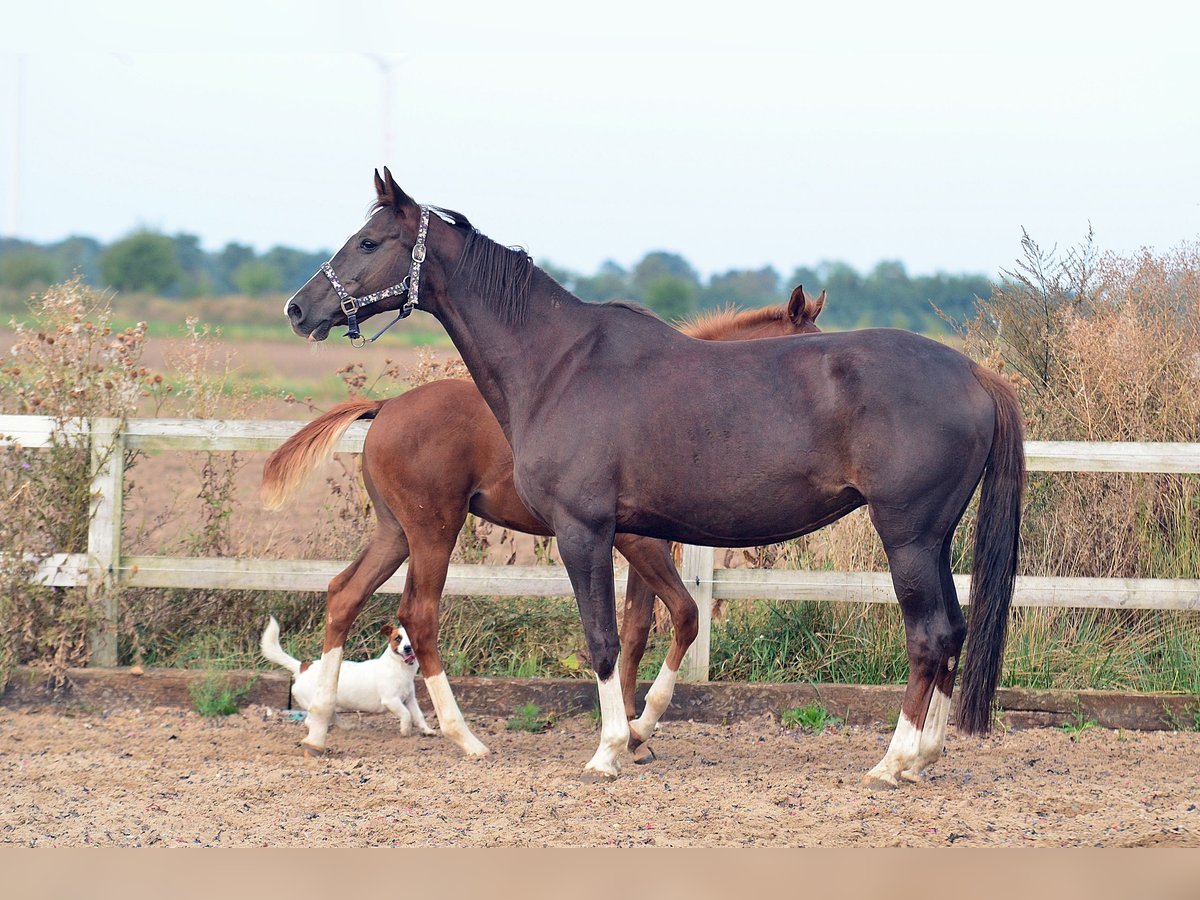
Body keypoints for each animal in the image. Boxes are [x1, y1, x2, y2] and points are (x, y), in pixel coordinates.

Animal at [262, 290, 825, 763]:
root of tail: (387, 407)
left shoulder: (640, 544)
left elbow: (636, 628)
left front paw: (629, 733)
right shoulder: (637, 541)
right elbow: (670, 618)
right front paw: (631, 732)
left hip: (394, 532)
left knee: (345, 593)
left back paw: (318, 728)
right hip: (430, 532)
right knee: (416, 614)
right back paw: (465, 738)